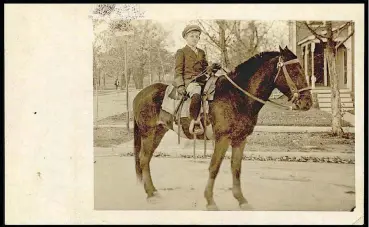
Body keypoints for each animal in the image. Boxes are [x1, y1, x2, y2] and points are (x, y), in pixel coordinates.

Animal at [132, 46, 310, 211]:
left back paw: (153, 192)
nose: (307, 102)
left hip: (158, 133)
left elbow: (236, 168)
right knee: (143, 159)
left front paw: (241, 200)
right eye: (294, 71)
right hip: (148, 133)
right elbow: (214, 168)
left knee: (146, 159)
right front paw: (210, 201)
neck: (237, 96)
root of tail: (140, 94)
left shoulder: (240, 139)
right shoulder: (222, 139)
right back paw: (150, 194)